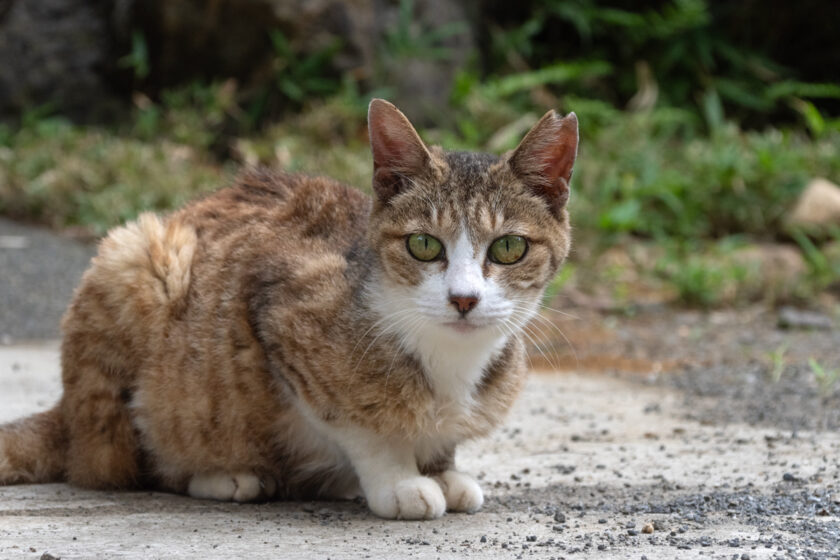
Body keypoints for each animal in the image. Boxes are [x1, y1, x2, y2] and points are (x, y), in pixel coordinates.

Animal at [0, 97, 576, 520]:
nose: (463, 298)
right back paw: (223, 476)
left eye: (508, 248)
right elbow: (359, 422)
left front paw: (440, 467)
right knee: (125, 465)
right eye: (423, 245)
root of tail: (66, 414)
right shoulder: (282, 313)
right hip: (135, 262)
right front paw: (400, 477)